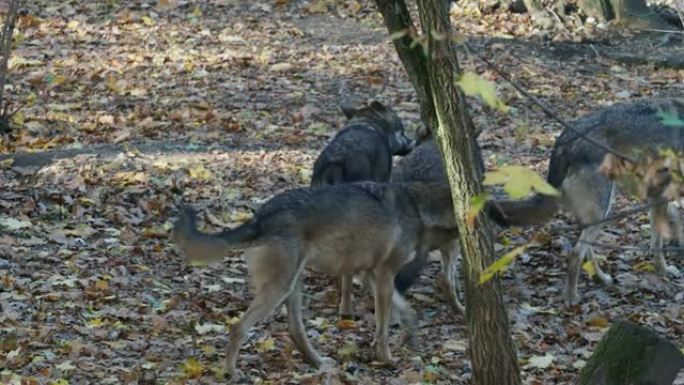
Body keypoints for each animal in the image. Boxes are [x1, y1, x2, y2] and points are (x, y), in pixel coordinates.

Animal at [171, 181, 460, 378]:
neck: (418, 207)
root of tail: (262, 215)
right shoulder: (384, 276)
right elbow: (383, 328)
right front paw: (387, 359)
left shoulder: (370, 275)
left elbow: (408, 312)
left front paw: (411, 340)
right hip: (279, 289)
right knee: (237, 329)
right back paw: (231, 373)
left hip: (292, 287)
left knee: (295, 331)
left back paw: (320, 363)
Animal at [488, 98, 680, 304]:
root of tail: (563, 140)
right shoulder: (660, 195)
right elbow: (659, 244)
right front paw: (664, 272)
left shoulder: (656, 196)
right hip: (603, 210)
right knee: (575, 254)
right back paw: (572, 300)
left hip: (599, 211)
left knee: (587, 251)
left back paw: (602, 279)